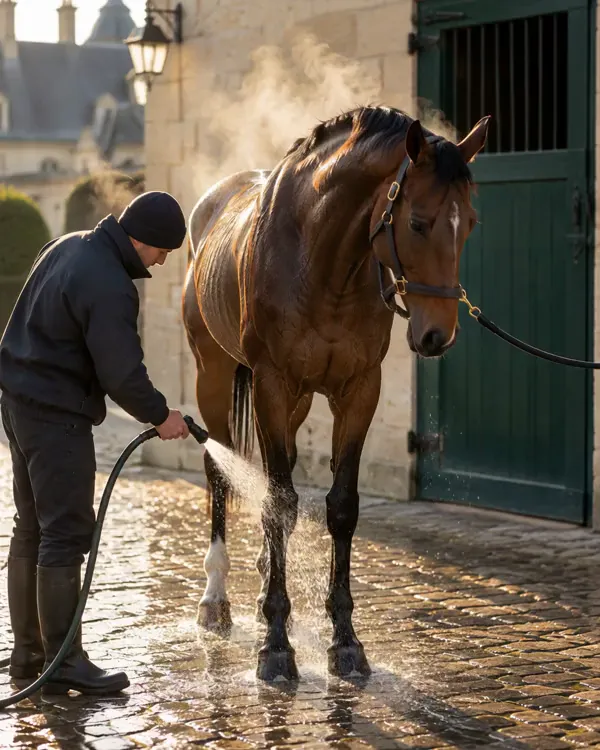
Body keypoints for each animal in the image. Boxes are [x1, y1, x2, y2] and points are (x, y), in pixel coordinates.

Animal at [182, 106, 490, 682]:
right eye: (417, 222)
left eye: (471, 224)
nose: (438, 336)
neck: (322, 263)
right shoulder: (272, 384)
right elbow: (279, 504)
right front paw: (276, 647)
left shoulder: (358, 390)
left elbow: (339, 507)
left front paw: (345, 642)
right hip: (213, 376)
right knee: (219, 469)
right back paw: (216, 599)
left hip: (296, 401)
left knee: (270, 469)